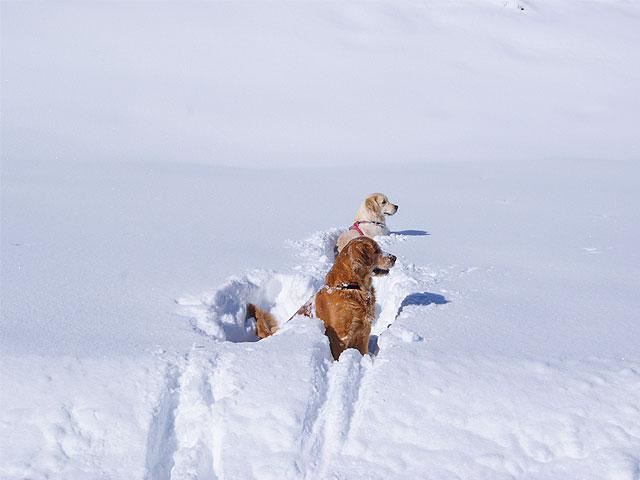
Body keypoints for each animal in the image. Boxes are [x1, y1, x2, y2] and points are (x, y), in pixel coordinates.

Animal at [249, 237, 396, 360]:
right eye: (376, 250)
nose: (394, 257)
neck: (349, 286)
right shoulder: (340, 336)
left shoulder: (363, 333)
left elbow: (363, 352)